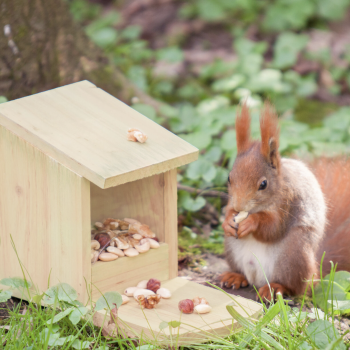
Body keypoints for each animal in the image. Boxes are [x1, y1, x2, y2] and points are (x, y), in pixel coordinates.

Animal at [221, 101, 350, 300]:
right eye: (229, 178)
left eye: (263, 184)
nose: (239, 206)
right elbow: (228, 210)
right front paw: (228, 220)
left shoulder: (288, 202)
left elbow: (273, 228)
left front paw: (251, 222)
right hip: (231, 247)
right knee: (243, 274)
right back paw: (235, 276)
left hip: (293, 254)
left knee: (296, 287)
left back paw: (275, 288)